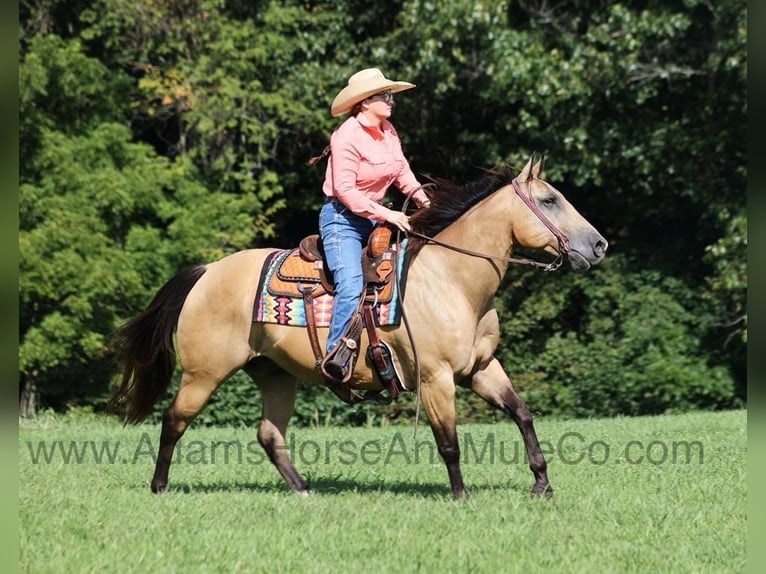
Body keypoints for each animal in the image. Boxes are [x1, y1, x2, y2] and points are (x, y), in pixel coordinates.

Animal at [109, 156, 607, 499]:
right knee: (174, 420)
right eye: (549, 200)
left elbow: (522, 413)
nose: (599, 245)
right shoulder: (436, 378)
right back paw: (159, 486)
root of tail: (208, 271)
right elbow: (448, 441)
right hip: (203, 374)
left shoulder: (480, 369)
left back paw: (304, 490)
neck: (451, 278)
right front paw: (461, 495)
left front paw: (542, 484)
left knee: (269, 434)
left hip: (274, 374)